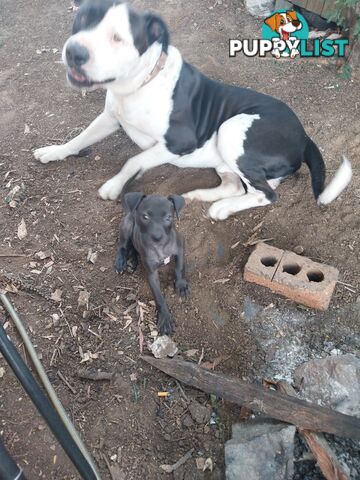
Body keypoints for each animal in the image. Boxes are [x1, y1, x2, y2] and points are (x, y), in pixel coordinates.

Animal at [34, 0, 352, 221]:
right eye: (81, 19)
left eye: (118, 37)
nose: (74, 52)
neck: (139, 83)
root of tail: (305, 136)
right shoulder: (110, 118)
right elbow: (80, 138)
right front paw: (54, 151)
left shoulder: (177, 144)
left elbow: (133, 160)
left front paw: (113, 185)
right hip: (226, 155)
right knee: (240, 186)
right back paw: (202, 196)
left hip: (231, 129)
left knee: (267, 194)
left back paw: (222, 208)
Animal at [115, 193, 188, 336]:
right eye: (145, 217)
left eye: (168, 217)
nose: (157, 237)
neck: (161, 248)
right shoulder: (151, 273)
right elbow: (158, 297)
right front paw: (165, 318)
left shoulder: (180, 247)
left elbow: (179, 267)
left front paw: (181, 284)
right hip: (127, 227)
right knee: (123, 246)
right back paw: (121, 262)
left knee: (133, 248)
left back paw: (132, 261)